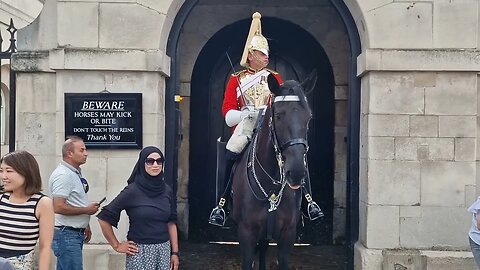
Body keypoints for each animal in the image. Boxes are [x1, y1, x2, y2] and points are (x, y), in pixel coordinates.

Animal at [231, 70, 316, 268]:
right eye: (278, 115)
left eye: (308, 117)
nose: (296, 172)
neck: (272, 187)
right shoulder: (246, 233)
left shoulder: (288, 234)